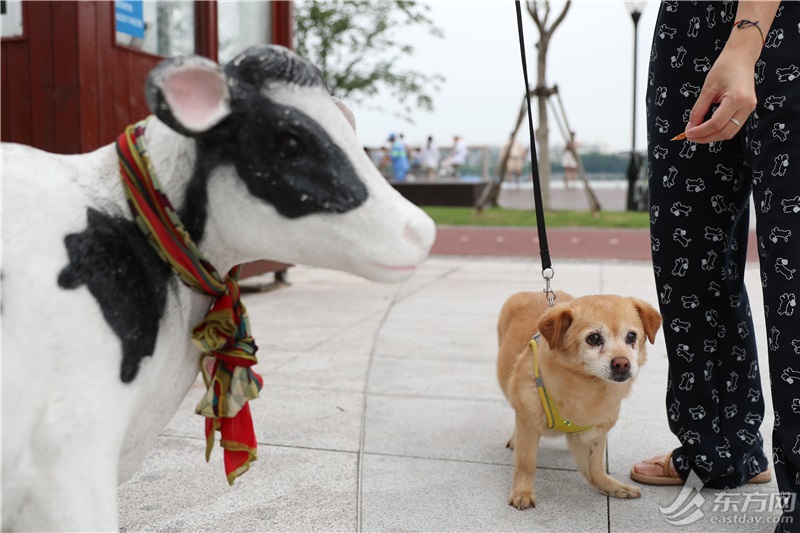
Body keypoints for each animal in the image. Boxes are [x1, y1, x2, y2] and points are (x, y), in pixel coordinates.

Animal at [494, 290, 664, 508]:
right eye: (594, 338)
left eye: (631, 336)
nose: (622, 363)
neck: (587, 388)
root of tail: (532, 292)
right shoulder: (528, 425)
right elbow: (526, 464)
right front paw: (522, 492)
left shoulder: (595, 433)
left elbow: (596, 469)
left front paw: (611, 486)